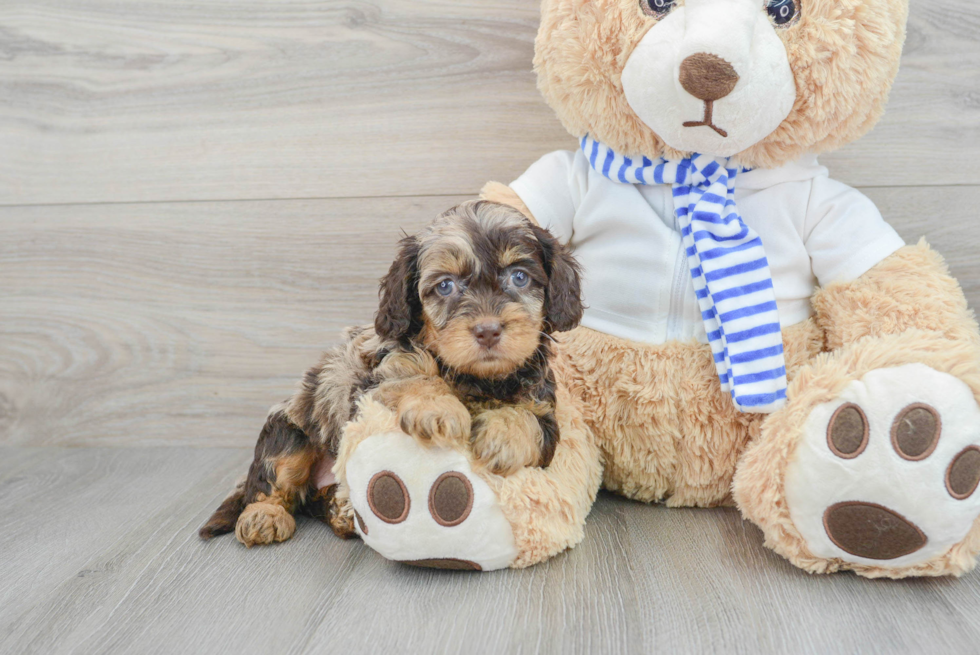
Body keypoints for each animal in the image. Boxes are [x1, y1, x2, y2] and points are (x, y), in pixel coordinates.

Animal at [199, 200, 580, 548]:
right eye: (445, 286)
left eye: (519, 277)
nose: (488, 330)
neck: (475, 377)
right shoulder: (376, 381)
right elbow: (412, 379)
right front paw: (437, 409)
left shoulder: (544, 409)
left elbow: (528, 421)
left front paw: (502, 436)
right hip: (289, 431)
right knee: (272, 478)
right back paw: (264, 515)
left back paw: (342, 512)